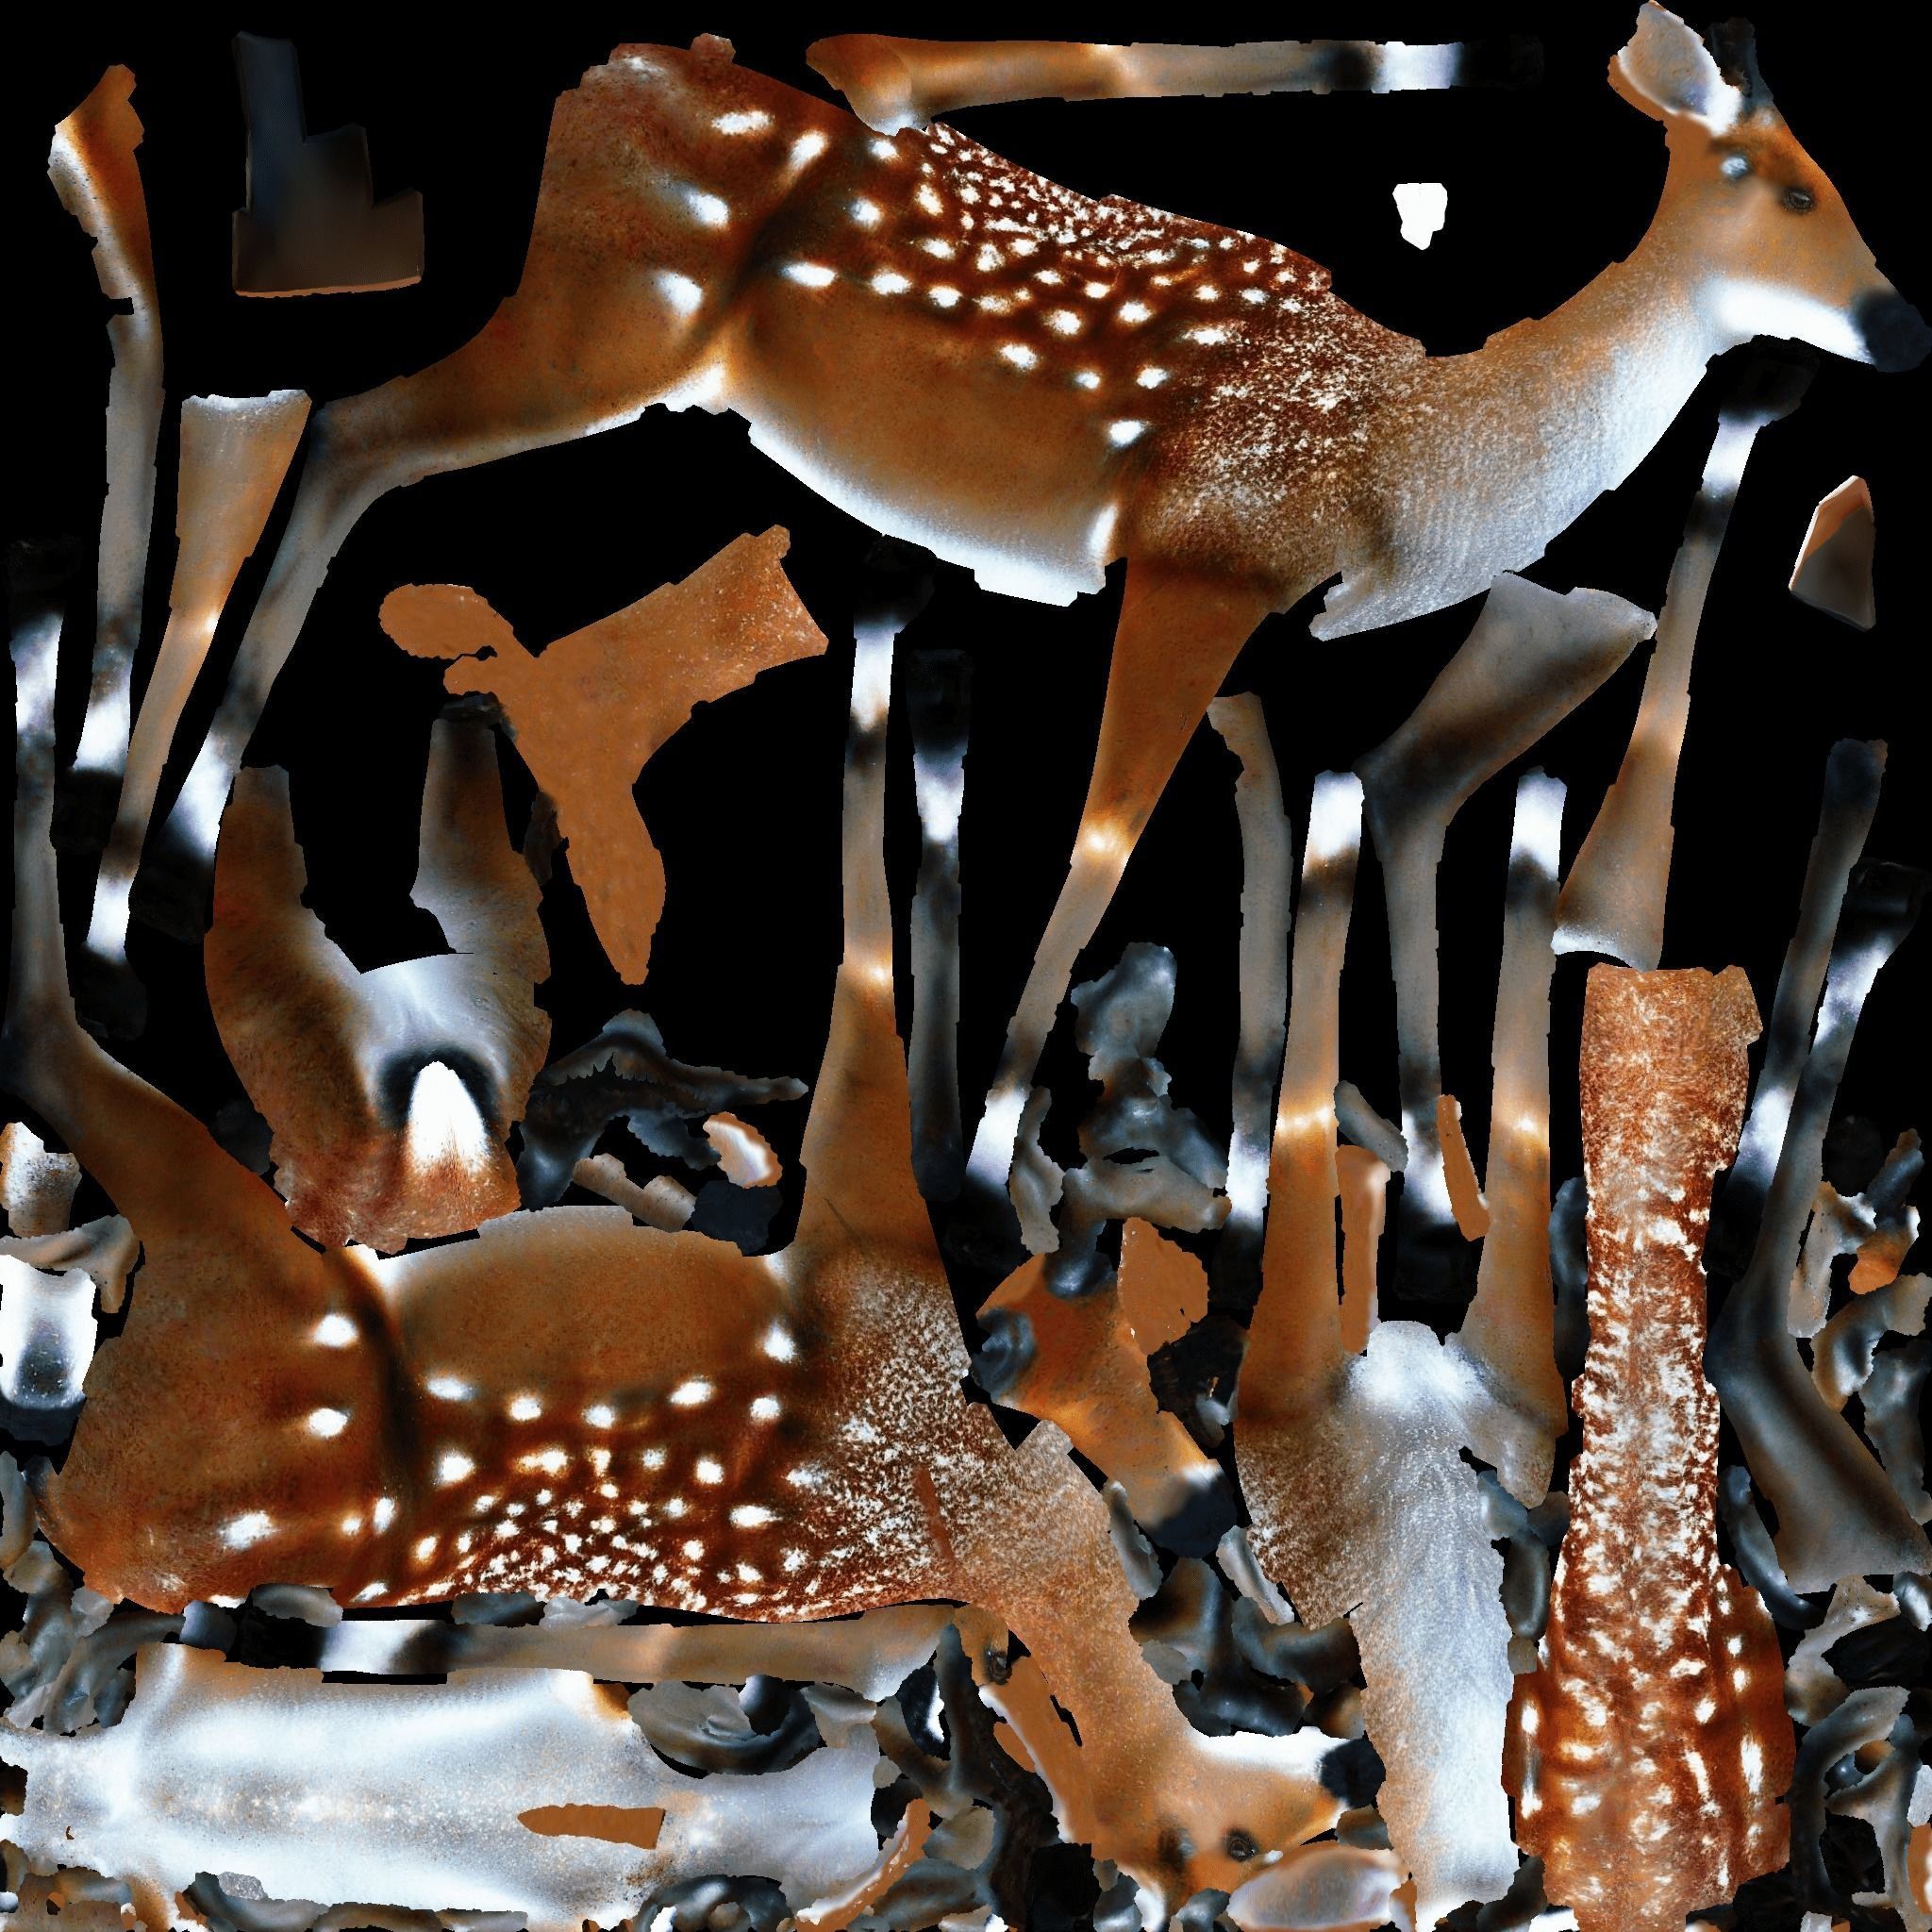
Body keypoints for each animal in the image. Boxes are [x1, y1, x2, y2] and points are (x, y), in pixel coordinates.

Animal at [76, 3, 1923, 1244]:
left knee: (330, 423)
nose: (1893, 318)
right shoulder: (1195, 560)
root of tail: (609, 81)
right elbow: (1104, 836)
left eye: (1838, 179)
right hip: (599, 334)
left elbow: (1293, 848)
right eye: (1776, 185)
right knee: (342, 425)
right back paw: (145, 876)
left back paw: (155, 869)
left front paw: (1305, 1187)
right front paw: (974, 1166)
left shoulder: (1276, 653)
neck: (1398, 467)